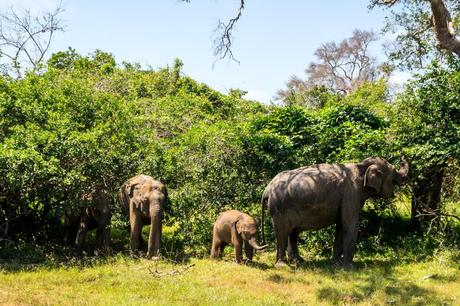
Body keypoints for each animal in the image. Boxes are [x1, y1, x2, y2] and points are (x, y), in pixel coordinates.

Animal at [262, 157, 410, 268]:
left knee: (293, 232)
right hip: (279, 208)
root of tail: (267, 189)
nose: (403, 157)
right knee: (282, 233)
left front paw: (335, 264)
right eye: (394, 171)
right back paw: (282, 265)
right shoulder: (351, 193)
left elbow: (341, 226)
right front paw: (349, 268)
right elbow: (350, 225)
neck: (361, 166)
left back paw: (298, 261)